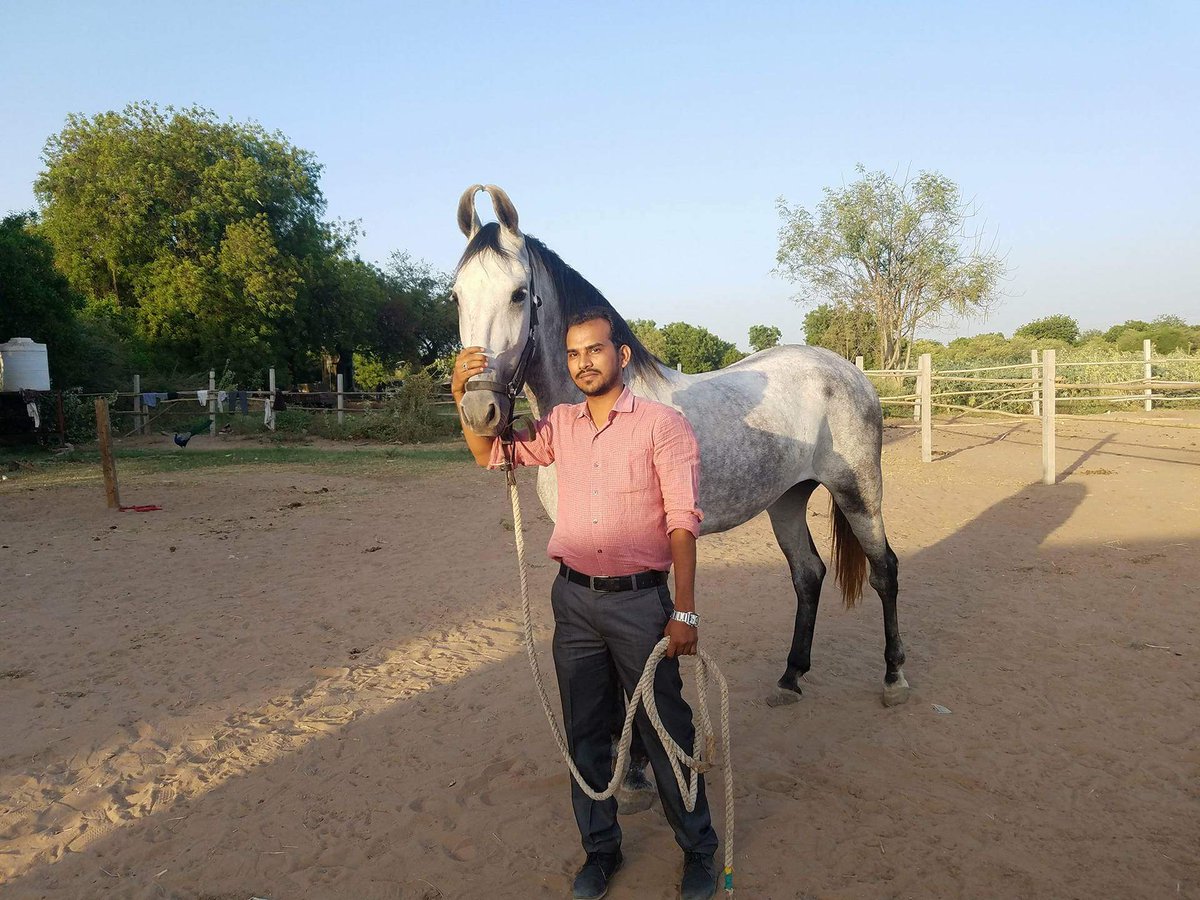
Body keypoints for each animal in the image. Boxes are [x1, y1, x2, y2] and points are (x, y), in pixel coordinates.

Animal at [451, 184, 909, 795]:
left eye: (519, 293)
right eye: (456, 296)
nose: (481, 409)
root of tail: (849, 372)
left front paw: (637, 766)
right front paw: (630, 767)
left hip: (859, 492)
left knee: (885, 571)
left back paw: (894, 677)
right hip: (787, 500)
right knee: (808, 575)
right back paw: (790, 678)